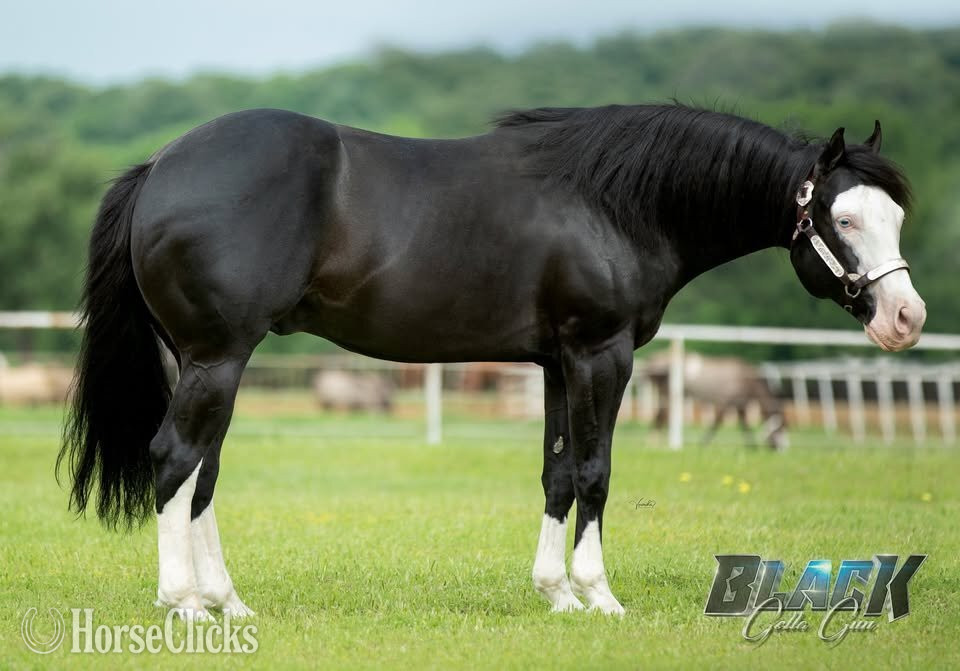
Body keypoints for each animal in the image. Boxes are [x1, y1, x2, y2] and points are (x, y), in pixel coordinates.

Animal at [644, 352, 788, 450]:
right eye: (782, 426)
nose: (781, 449)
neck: (745, 379)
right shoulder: (725, 403)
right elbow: (717, 423)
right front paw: (703, 444)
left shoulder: (739, 405)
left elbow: (744, 425)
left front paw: (751, 447)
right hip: (666, 394)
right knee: (660, 417)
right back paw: (654, 444)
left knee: (661, 417)